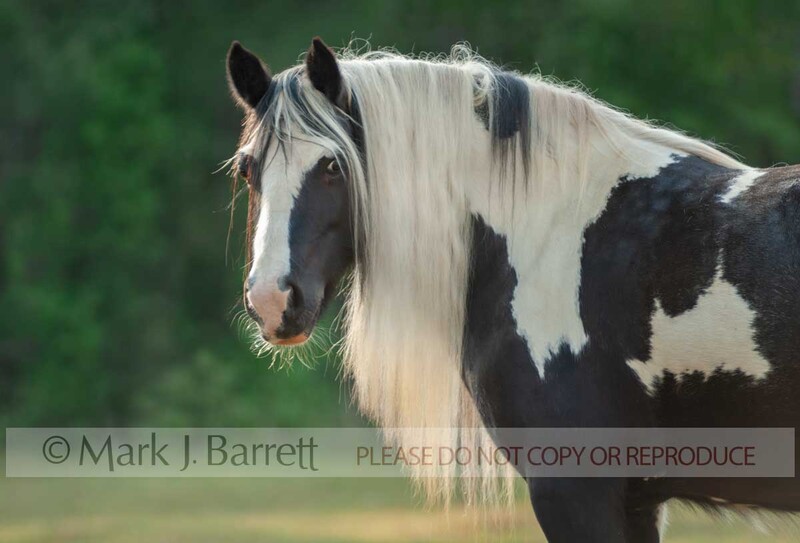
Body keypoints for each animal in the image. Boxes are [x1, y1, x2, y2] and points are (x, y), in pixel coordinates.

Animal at [224, 37, 800, 542]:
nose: (272, 299)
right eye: (249, 169)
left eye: (331, 165)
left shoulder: (576, 489)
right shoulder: (636, 498)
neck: (547, 237)